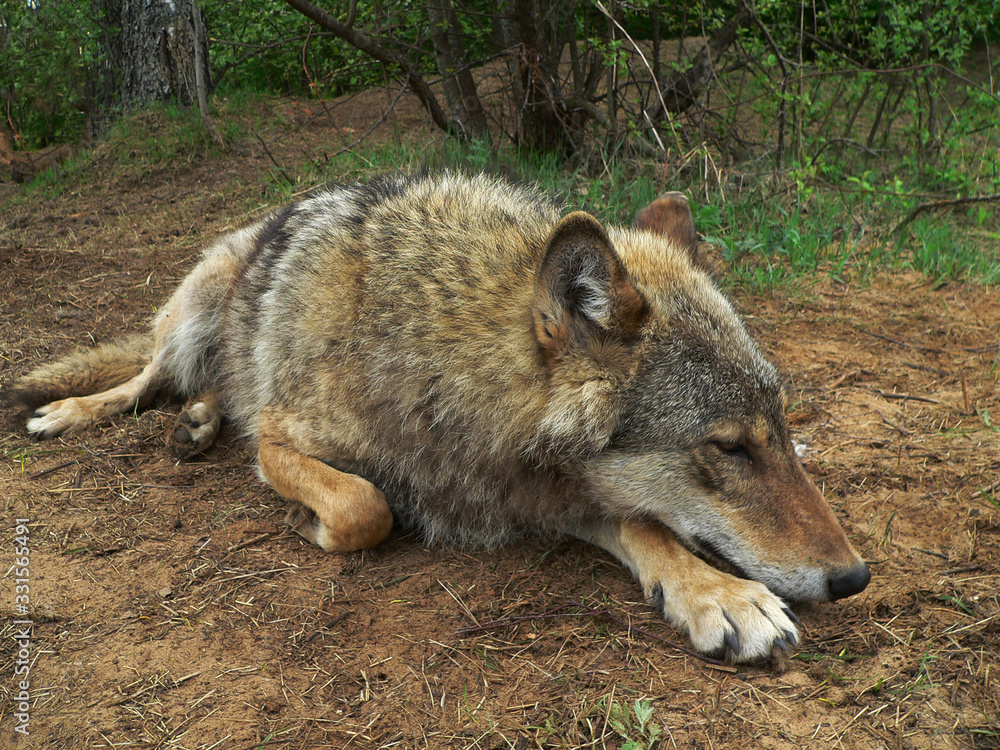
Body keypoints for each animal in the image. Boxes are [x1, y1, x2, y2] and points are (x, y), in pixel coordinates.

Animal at [8, 172, 869, 662]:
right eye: (727, 448)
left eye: (781, 430)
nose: (855, 577)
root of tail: (262, 222)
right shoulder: (286, 439)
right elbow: (366, 505)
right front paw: (314, 526)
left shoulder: (540, 491)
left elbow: (649, 527)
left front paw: (717, 595)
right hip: (191, 314)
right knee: (142, 378)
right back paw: (79, 411)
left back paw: (198, 418)